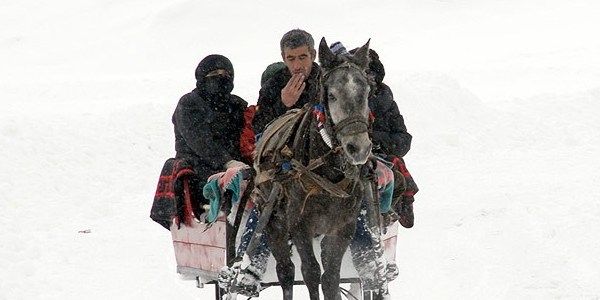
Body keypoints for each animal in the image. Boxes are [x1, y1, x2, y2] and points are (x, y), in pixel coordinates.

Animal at [251, 38, 386, 300]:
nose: (358, 148)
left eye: (367, 93)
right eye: (331, 96)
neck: (327, 172)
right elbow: (311, 273)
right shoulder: (299, 225)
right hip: (273, 221)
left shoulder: (342, 227)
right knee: (286, 271)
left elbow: (330, 277)